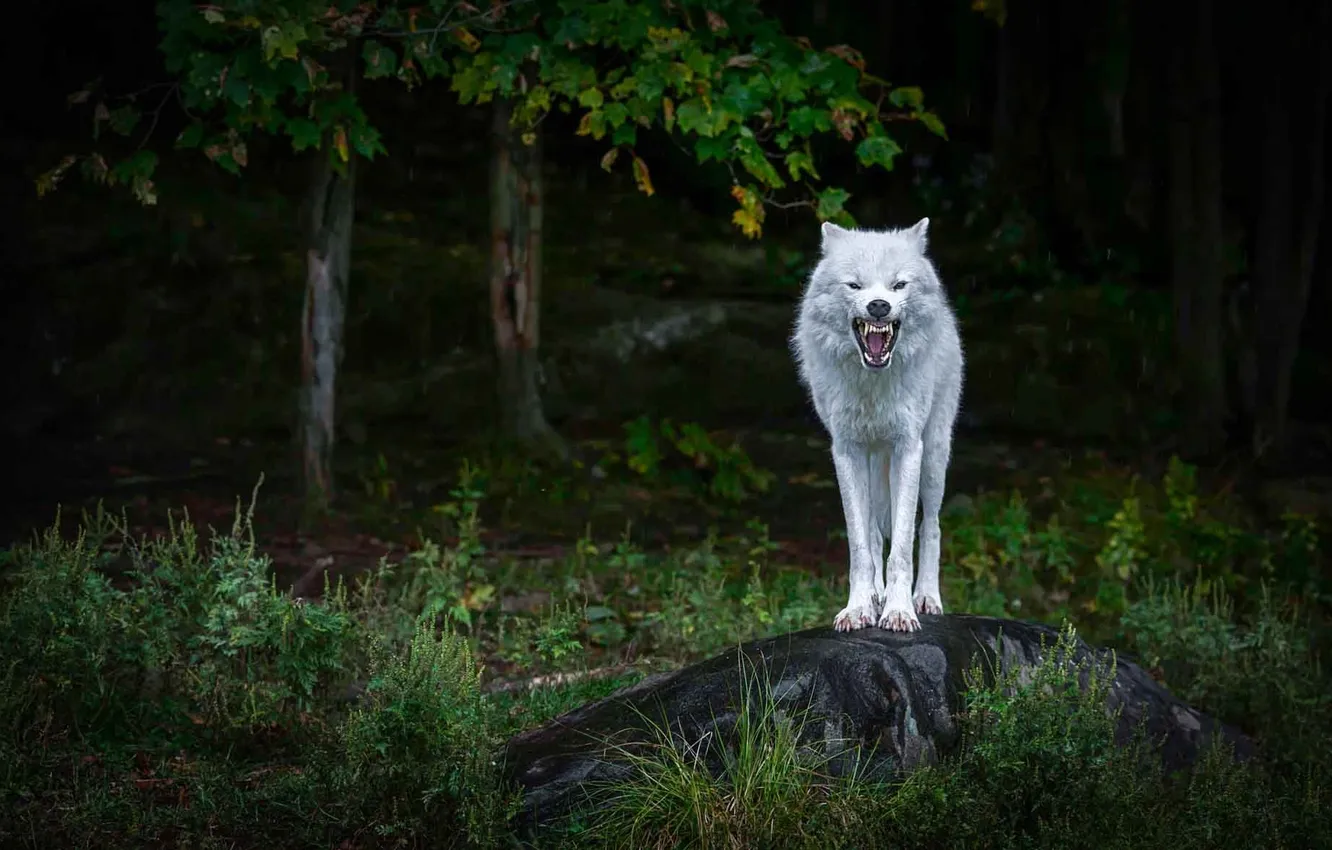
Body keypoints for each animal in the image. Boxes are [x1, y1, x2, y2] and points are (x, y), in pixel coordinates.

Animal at [791, 218, 964, 633]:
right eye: (855, 285)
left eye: (898, 285)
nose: (879, 305)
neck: (873, 383)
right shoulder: (845, 451)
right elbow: (861, 545)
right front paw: (859, 608)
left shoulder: (908, 448)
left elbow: (901, 545)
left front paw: (899, 611)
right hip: (871, 462)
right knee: (871, 532)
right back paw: (875, 596)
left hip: (934, 458)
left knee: (931, 526)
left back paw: (926, 598)